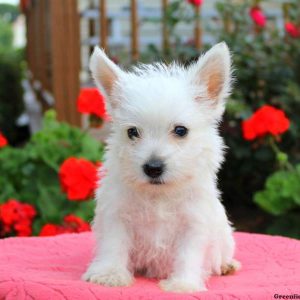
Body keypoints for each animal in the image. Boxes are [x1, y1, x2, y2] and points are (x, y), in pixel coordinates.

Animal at [83, 42, 240, 292]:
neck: (159, 195)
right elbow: (114, 245)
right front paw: (110, 274)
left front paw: (183, 284)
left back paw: (227, 265)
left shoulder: (194, 224)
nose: (153, 167)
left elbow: (188, 255)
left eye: (180, 130)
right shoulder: (116, 215)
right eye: (132, 132)